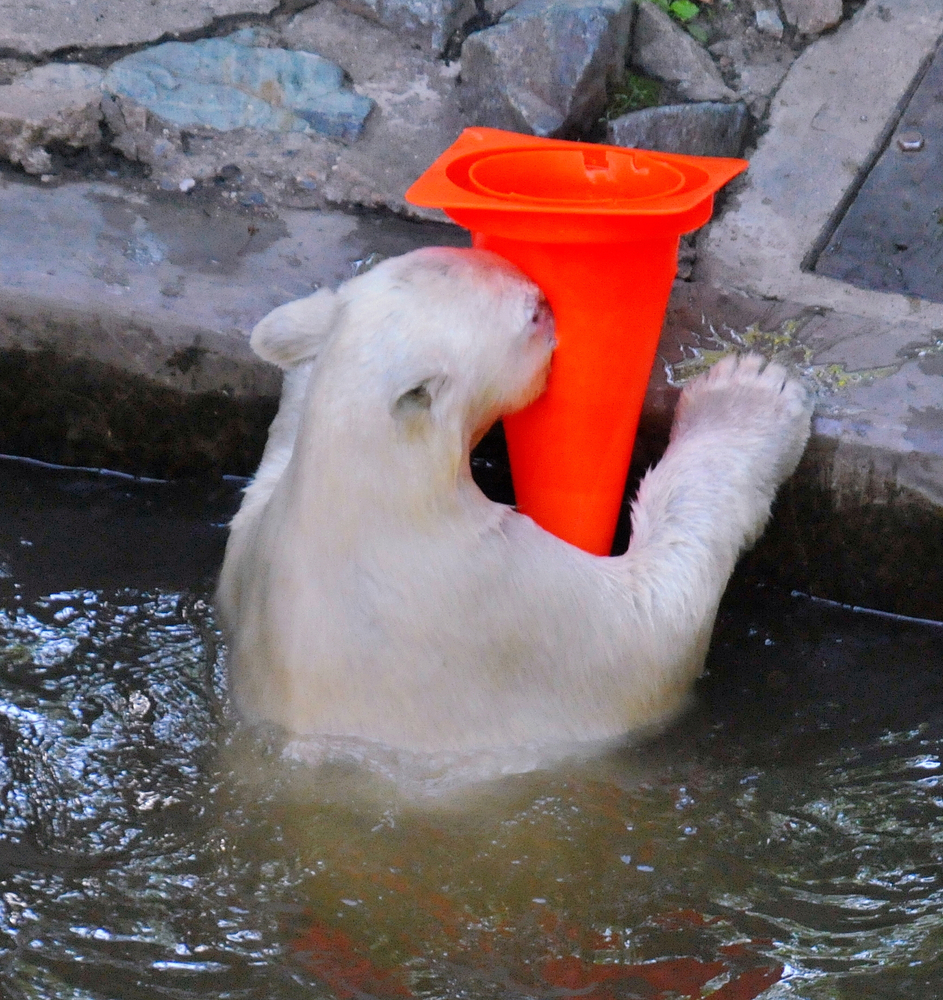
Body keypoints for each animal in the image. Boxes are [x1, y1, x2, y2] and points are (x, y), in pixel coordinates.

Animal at [217, 246, 812, 763]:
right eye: (532, 314)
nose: (536, 286)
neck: (366, 499)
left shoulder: (250, 545)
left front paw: (294, 336)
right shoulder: (504, 601)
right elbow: (656, 623)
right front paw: (747, 394)